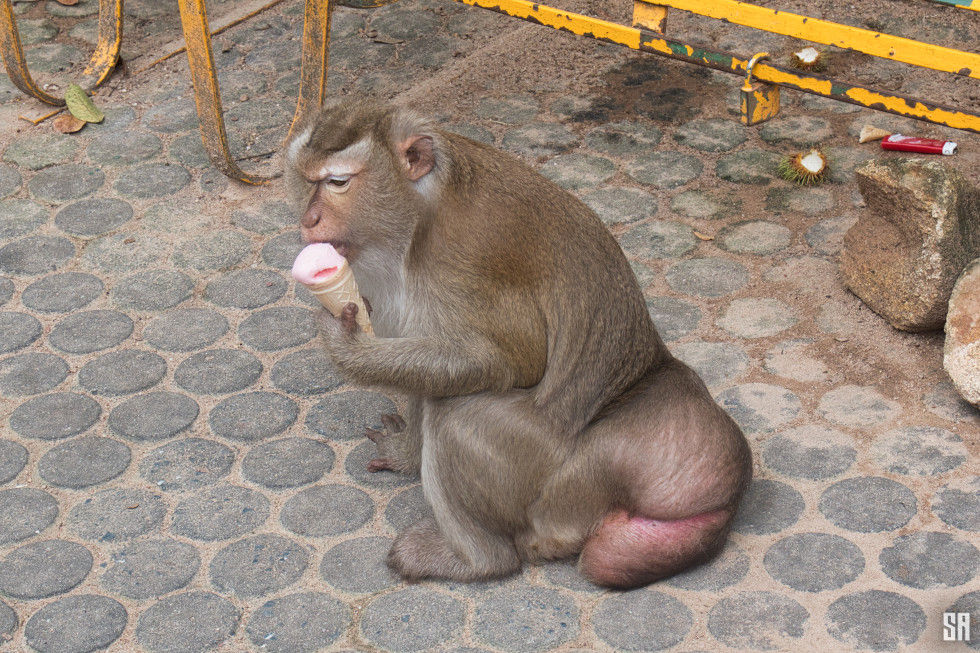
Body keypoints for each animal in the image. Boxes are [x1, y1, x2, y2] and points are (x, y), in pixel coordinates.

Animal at [284, 97, 752, 588]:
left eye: (338, 182)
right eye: (306, 180)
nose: (308, 219)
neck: (413, 221)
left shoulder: (465, 262)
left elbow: (510, 360)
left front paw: (347, 349)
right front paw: (405, 453)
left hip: (550, 483)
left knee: (456, 416)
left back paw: (475, 560)